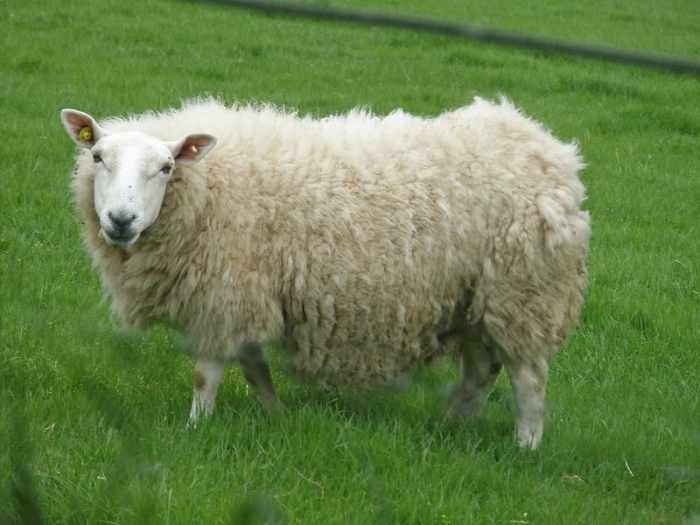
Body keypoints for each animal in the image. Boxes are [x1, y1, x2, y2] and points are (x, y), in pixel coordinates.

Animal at [60, 97, 590, 449]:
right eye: (98, 157)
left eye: (167, 167)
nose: (121, 220)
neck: (208, 188)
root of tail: (550, 151)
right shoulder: (251, 290)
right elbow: (253, 366)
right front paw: (275, 414)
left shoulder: (224, 291)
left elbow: (205, 374)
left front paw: (197, 428)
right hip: (477, 297)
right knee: (480, 370)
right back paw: (450, 427)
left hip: (524, 291)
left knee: (529, 378)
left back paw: (525, 447)